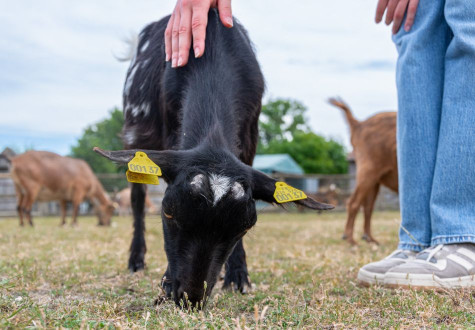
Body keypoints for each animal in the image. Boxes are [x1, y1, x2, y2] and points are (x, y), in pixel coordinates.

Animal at [93, 9, 332, 308]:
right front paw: (167, 281)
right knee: (137, 197)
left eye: (244, 228)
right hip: (137, 132)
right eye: (167, 212)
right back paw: (136, 260)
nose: (190, 297)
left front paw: (239, 276)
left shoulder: (250, 138)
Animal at [330, 96, 400, 244]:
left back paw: (369, 238)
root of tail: (359, 125)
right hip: (368, 170)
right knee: (354, 202)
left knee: (368, 206)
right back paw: (350, 239)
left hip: (375, 180)